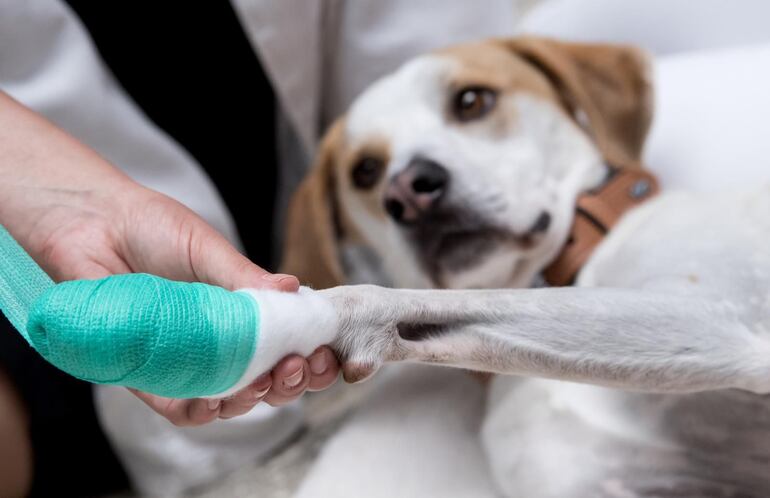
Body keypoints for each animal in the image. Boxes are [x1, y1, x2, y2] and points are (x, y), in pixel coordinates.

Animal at [280, 37, 768, 496]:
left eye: (472, 101)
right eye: (364, 170)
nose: (408, 192)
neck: (570, 269)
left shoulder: (714, 319)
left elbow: (421, 299)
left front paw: (323, 314)